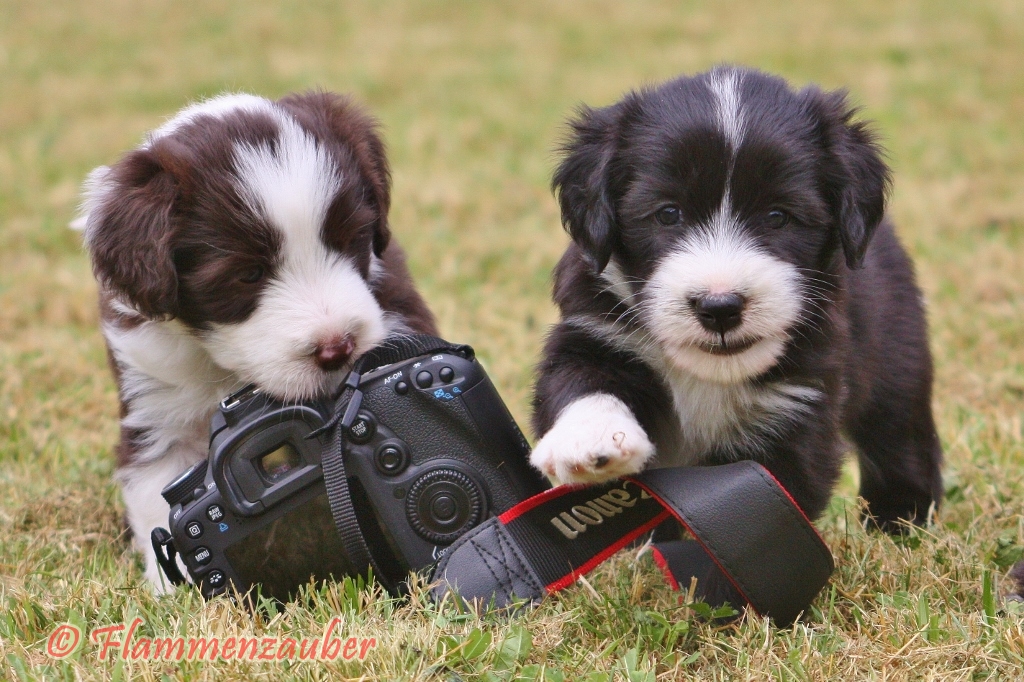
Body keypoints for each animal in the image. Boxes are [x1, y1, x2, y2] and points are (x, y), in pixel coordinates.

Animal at [75, 91, 436, 589]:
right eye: (248, 274)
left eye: (351, 240)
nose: (337, 349)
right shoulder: (156, 404)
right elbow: (155, 494)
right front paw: (172, 592)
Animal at [536, 67, 942, 524]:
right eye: (668, 213)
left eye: (778, 216)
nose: (719, 308)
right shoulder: (592, 329)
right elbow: (578, 378)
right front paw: (590, 440)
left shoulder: (797, 406)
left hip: (897, 361)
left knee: (898, 439)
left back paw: (900, 519)